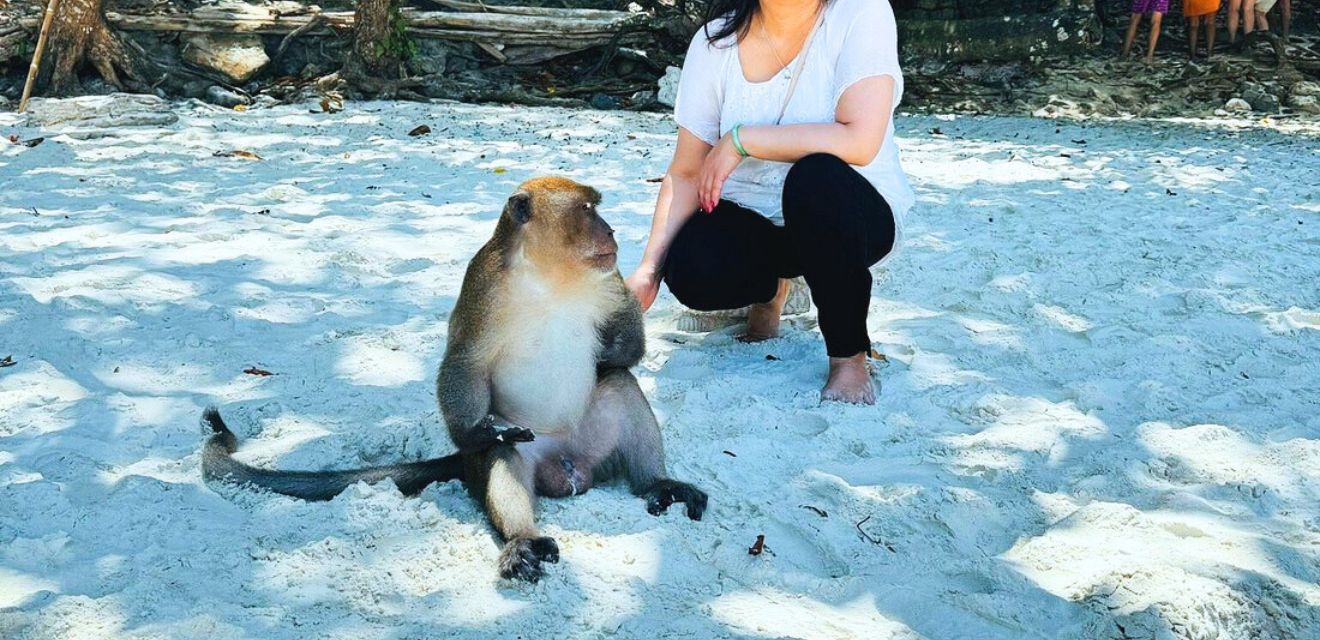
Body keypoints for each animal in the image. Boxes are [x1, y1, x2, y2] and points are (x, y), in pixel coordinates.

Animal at [200, 176, 707, 580]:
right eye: (586, 209)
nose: (610, 229)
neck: (550, 277)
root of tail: (571, 464)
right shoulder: (484, 286)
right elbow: (466, 362)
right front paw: (475, 431)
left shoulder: (608, 278)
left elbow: (626, 349)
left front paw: (610, 351)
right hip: (522, 448)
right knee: (504, 451)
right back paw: (522, 536)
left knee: (618, 383)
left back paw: (656, 483)